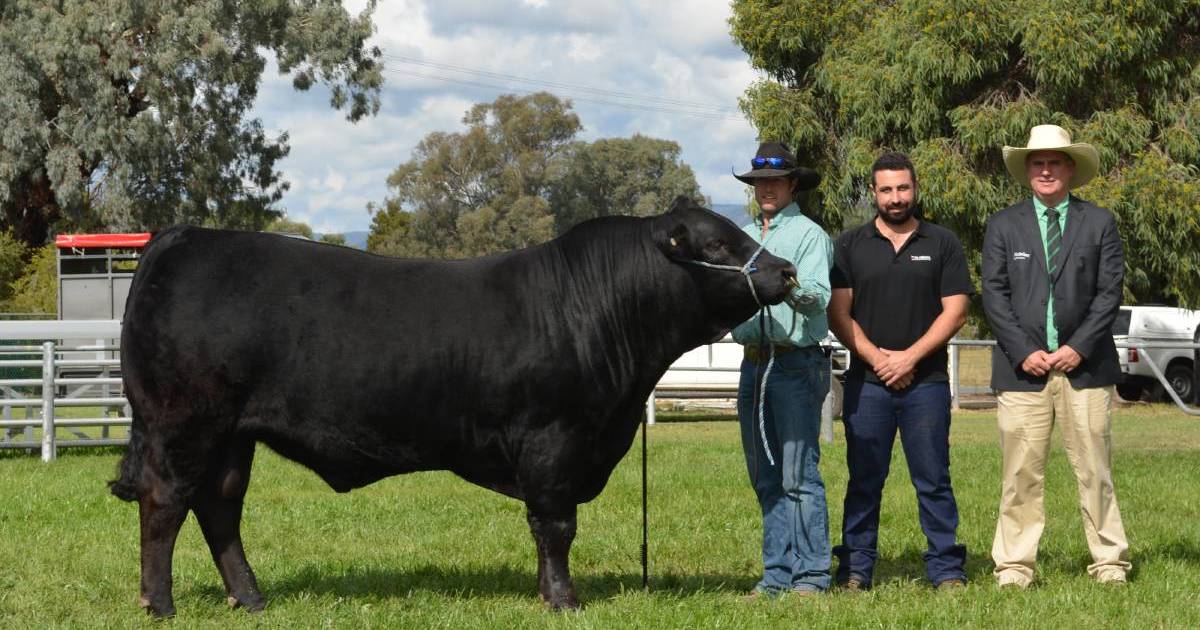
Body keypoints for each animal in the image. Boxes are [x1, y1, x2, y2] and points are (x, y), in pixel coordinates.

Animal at [112, 198, 796, 614]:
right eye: (718, 243)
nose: (787, 270)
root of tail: (183, 237)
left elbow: (549, 527)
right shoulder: (555, 441)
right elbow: (557, 527)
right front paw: (563, 599)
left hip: (233, 434)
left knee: (220, 507)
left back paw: (250, 599)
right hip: (183, 423)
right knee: (164, 503)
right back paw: (160, 604)